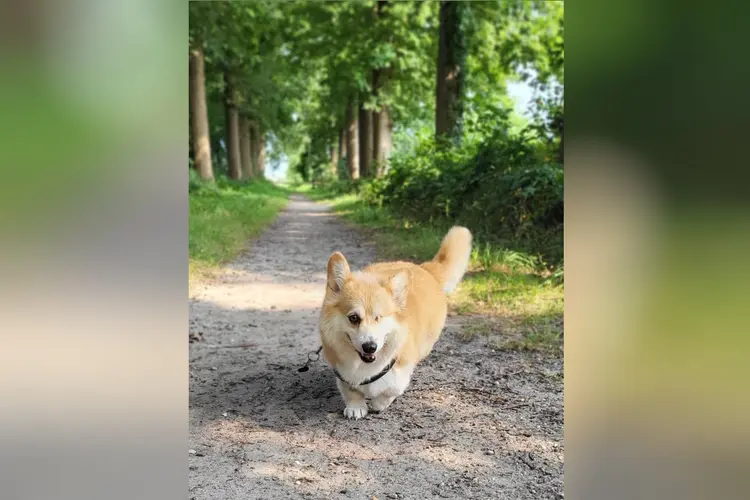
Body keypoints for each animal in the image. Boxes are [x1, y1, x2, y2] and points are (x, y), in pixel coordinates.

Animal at [318, 227, 472, 418]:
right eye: (353, 318)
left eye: (379, 317)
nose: (370, 347)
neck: (364, 364)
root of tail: (424, 268)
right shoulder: (342, 371)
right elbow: (350, 390)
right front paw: (356, 407)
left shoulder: (402, 368)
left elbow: (391, 389)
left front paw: (378, 404)